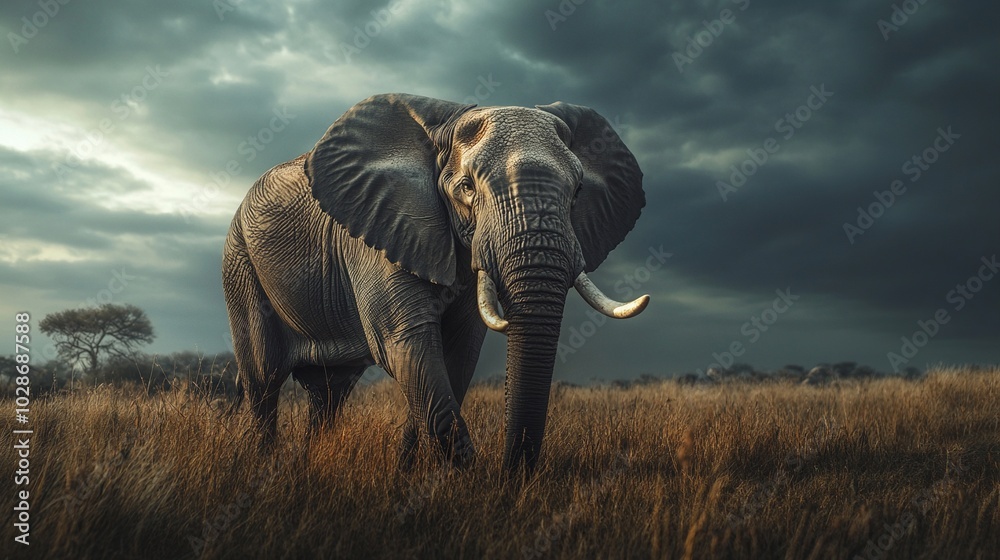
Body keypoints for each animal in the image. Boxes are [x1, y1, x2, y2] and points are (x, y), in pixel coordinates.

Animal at [223, 93, 648, 473]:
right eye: (467, 188)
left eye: (578, 191)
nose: (510, 475)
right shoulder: (380, 230)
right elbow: (407, 343)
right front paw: (466, 482)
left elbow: (457, 353)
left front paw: (408, 473)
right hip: (240, 264)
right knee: (264, 379)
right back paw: (261, 468)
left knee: (328, 391)